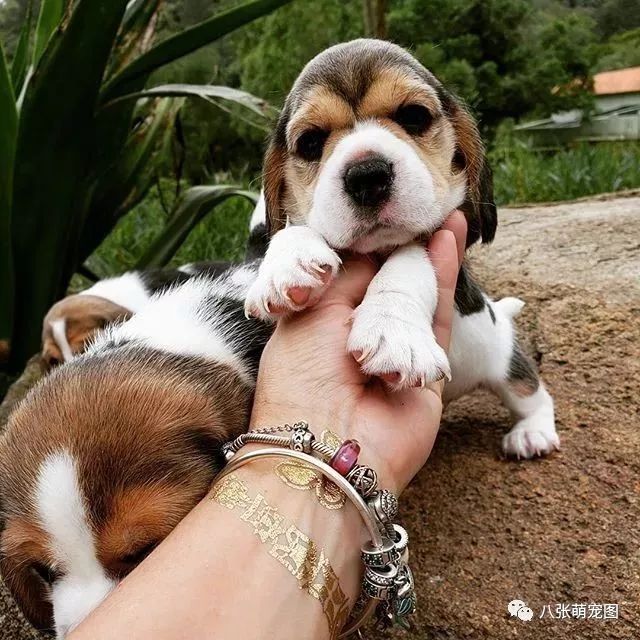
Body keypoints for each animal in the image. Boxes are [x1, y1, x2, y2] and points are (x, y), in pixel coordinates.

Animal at [248, 38, 556, 460]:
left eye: (414, 116)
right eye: (310, 142)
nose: (366, 175)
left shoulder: (440, 241)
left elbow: (407, 265)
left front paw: (393, 331)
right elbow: (292, 231)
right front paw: (285, 267)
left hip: (504, 361)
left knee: (533, 394)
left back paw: (532, 432)